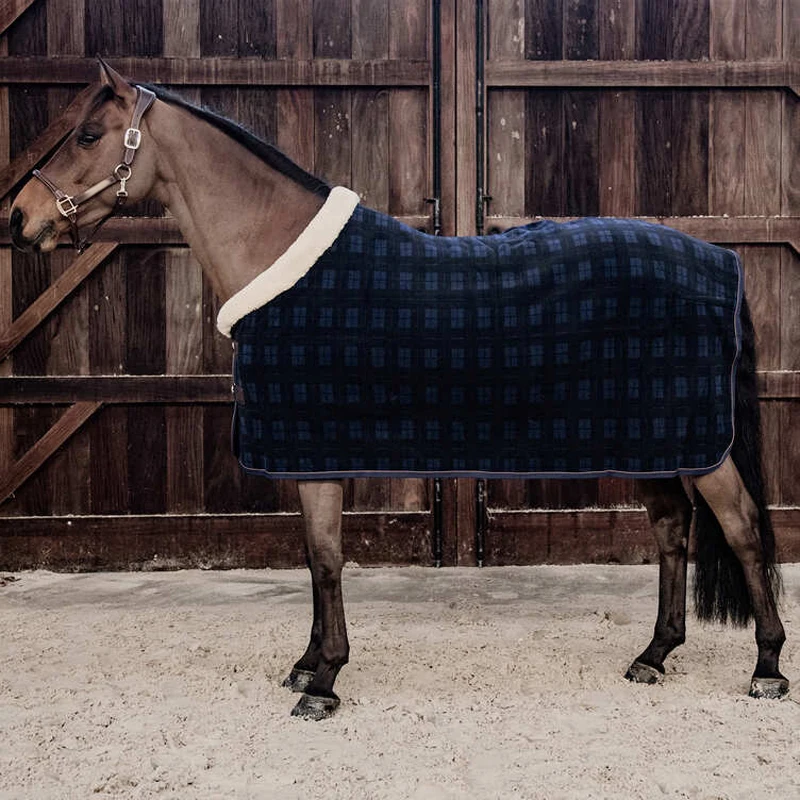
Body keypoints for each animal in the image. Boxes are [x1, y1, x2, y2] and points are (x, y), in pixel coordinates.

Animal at [10, 61, 788, 720]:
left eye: (86, 134)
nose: (18, 218)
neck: (282, 253)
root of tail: (720, 259)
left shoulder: (316, 454)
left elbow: (327, 561)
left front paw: (323, 682)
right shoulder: (311, 458)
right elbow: (313, 559)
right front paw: (306, 664)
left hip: (699, 446)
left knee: (744, 530)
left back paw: (767, 669)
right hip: (652, 439)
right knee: (672, 528)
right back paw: (654, 655)